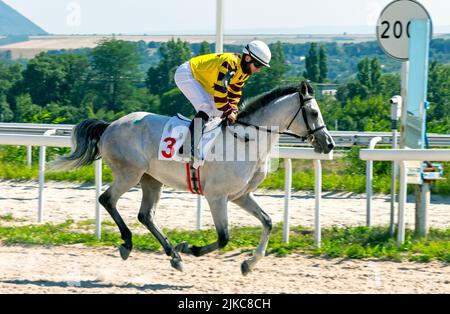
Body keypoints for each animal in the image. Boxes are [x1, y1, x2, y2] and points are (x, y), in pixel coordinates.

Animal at [52, 80, 334, 274]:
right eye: (314, 113)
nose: (329, 143)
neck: (246, 141)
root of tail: (110, 126)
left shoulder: (240, 195)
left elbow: (267, 222)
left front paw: (248, 264)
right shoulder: (216, 196)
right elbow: (224, 237)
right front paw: (191, 248)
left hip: (151, 179)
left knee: (145, 215)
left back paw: (172, 255)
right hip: (129, 173)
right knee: (107, 200)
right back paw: (129, 243)